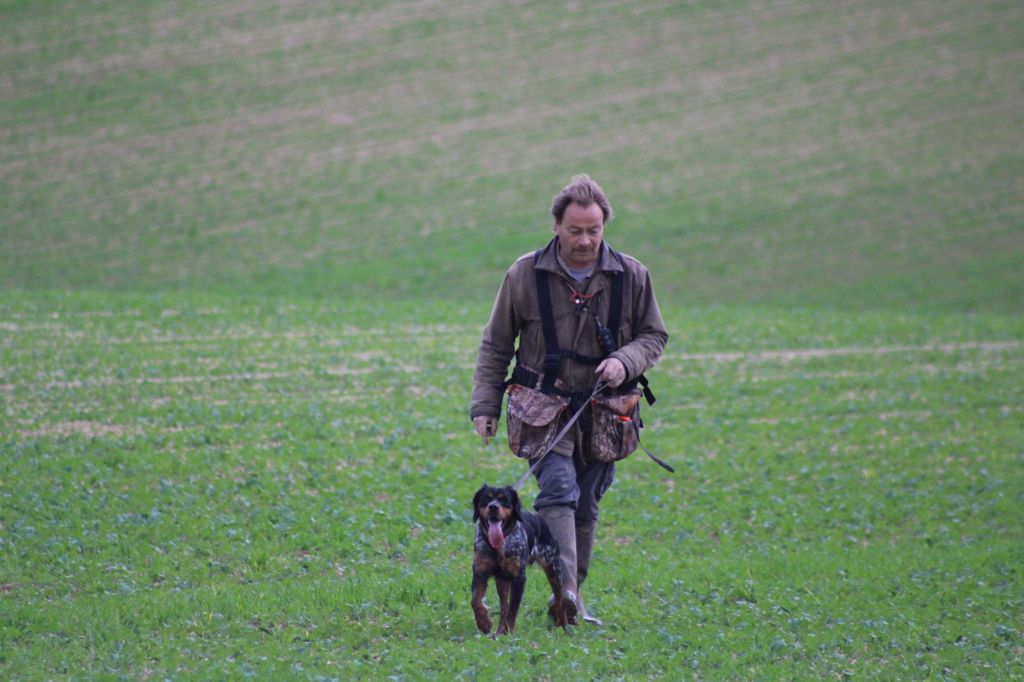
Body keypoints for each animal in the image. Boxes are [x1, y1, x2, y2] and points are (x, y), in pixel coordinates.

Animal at [471, 483, 577, 630]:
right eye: (486, 498)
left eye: (504, 500)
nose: (493, 507)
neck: (499, 545)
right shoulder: (479, 571)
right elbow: (475, 601)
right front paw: (484, 622)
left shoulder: (519, 577)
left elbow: (513, 610)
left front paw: (506, 632)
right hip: (502, 580)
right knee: (503, 607)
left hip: (554, 570)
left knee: (560, 600)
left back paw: (564, 626)